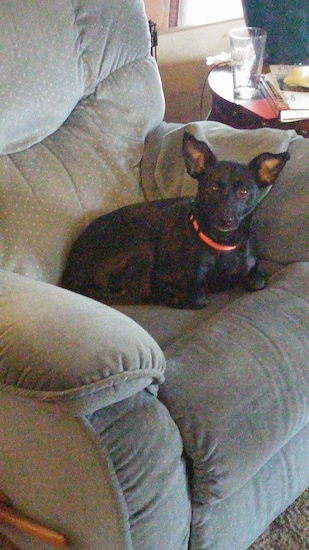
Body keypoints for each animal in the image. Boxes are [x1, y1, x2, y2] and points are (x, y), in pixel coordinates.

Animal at [60, 132, 288, 308]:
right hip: (141, 235)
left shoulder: (253, 268)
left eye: (244, 192)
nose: (226, 220)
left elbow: (258, 281)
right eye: (213, 187)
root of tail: (69, 277)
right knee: (141, 292)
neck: (221, 244)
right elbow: (198, 297)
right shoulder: (171, 277)